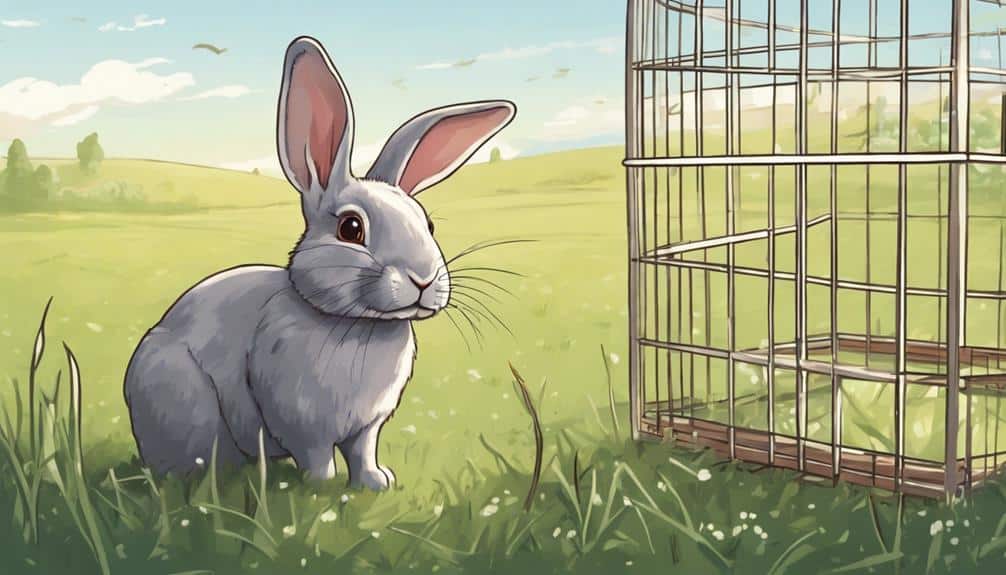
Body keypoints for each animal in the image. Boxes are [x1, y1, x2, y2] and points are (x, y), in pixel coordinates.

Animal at [123, 36, 516, 490]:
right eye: (351, 228)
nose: (423, 280)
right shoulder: (300, 421)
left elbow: (362, 452)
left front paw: (376, 482)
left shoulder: (367, 425)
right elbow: (317, 457)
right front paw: (322, 487)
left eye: (428, 223)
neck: (358, 325)